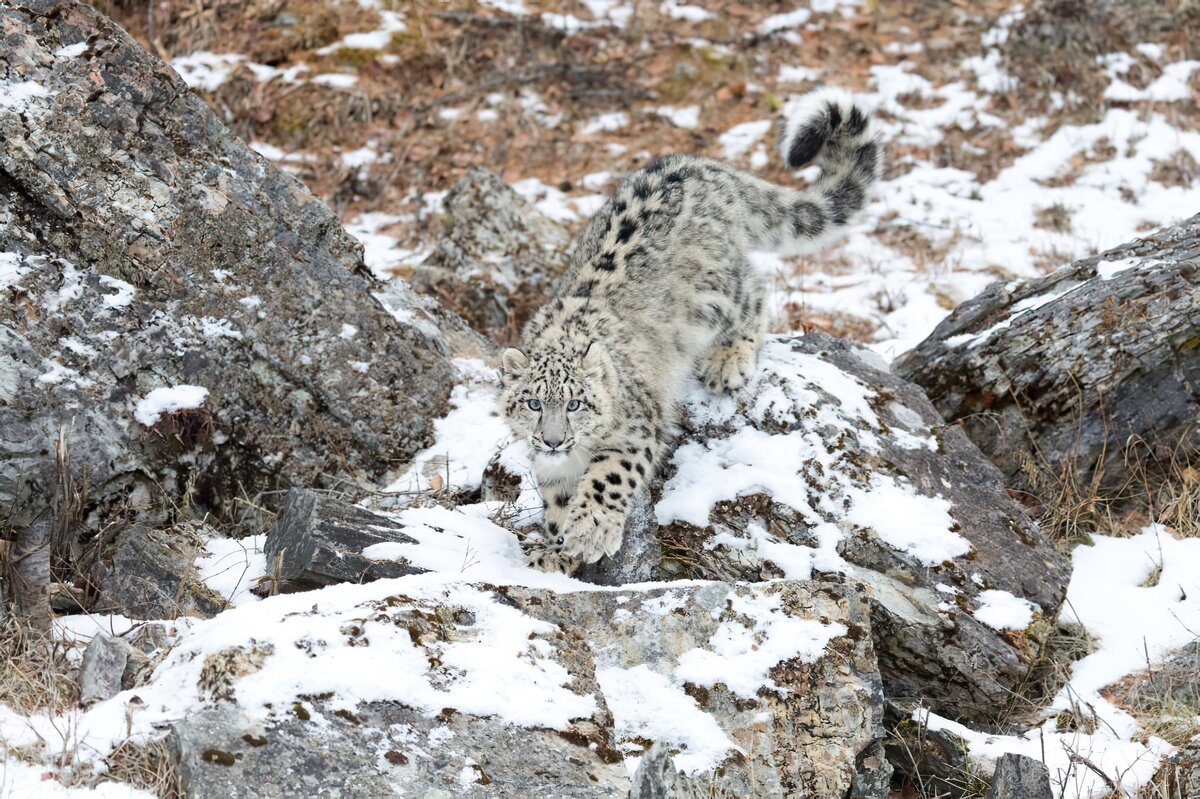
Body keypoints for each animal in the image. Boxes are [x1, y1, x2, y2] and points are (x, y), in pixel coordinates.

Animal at [496, 88, 883, 573]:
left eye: (575, 403)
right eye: (533, 402)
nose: (552, 440)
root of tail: (705, 166)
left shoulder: (637, 429)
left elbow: (608, 476)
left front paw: (589, 534)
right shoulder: (554, 469)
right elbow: (556, 502)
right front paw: (556, 552)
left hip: (714, 289)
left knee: (755, 291)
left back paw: (728, 360)